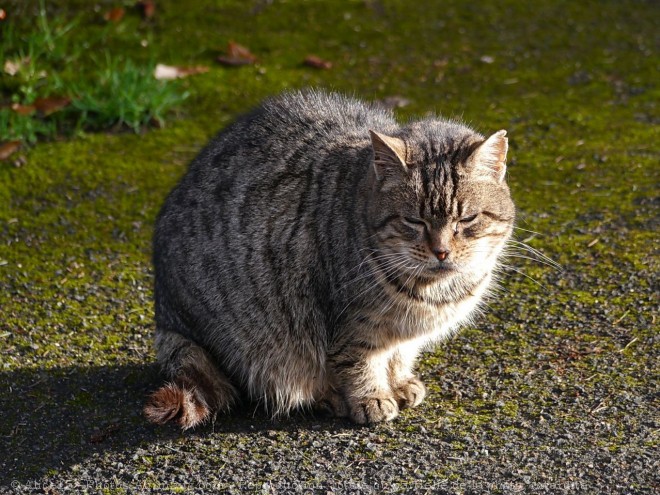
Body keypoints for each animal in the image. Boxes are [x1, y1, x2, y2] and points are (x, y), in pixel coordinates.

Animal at [144, 90, 516, 430]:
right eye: (414, 222)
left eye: (467, 219)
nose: (441, 251)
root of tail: (166, 316)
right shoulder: (348, 323)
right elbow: (357, 362)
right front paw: (371, 397)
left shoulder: (404, 335)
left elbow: (399, 355)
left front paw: (399, 382)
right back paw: (328, 396)